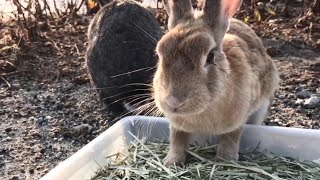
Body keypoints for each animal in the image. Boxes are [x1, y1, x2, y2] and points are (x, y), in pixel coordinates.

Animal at [154, 0, 278, 166]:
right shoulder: (177, 125)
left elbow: (231, 138)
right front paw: (171, 161)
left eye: (210, 56)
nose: (174, 101)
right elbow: (177, 140)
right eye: (160, 53)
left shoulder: (238, 121)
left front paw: (225, 160)